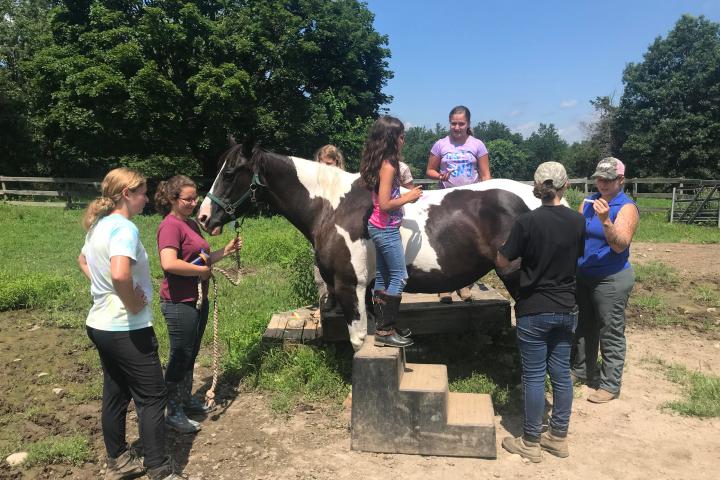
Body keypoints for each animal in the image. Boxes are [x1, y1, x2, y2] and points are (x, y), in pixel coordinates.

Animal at [197, 145, 545, 350]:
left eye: (229, 174)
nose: (203, 216)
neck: (332, 206)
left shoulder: (350, 285)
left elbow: (358, 339)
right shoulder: (368, 289)